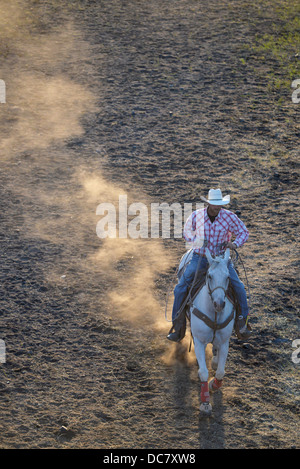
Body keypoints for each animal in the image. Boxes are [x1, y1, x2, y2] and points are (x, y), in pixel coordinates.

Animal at [190, 247, 234, 414]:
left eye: (228, 277)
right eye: (209, 276)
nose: (219, 304)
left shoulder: (225, 342)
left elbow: (221, 371)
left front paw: (213, 385)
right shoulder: (199, 341)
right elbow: (203, 371)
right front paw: (205, 402)